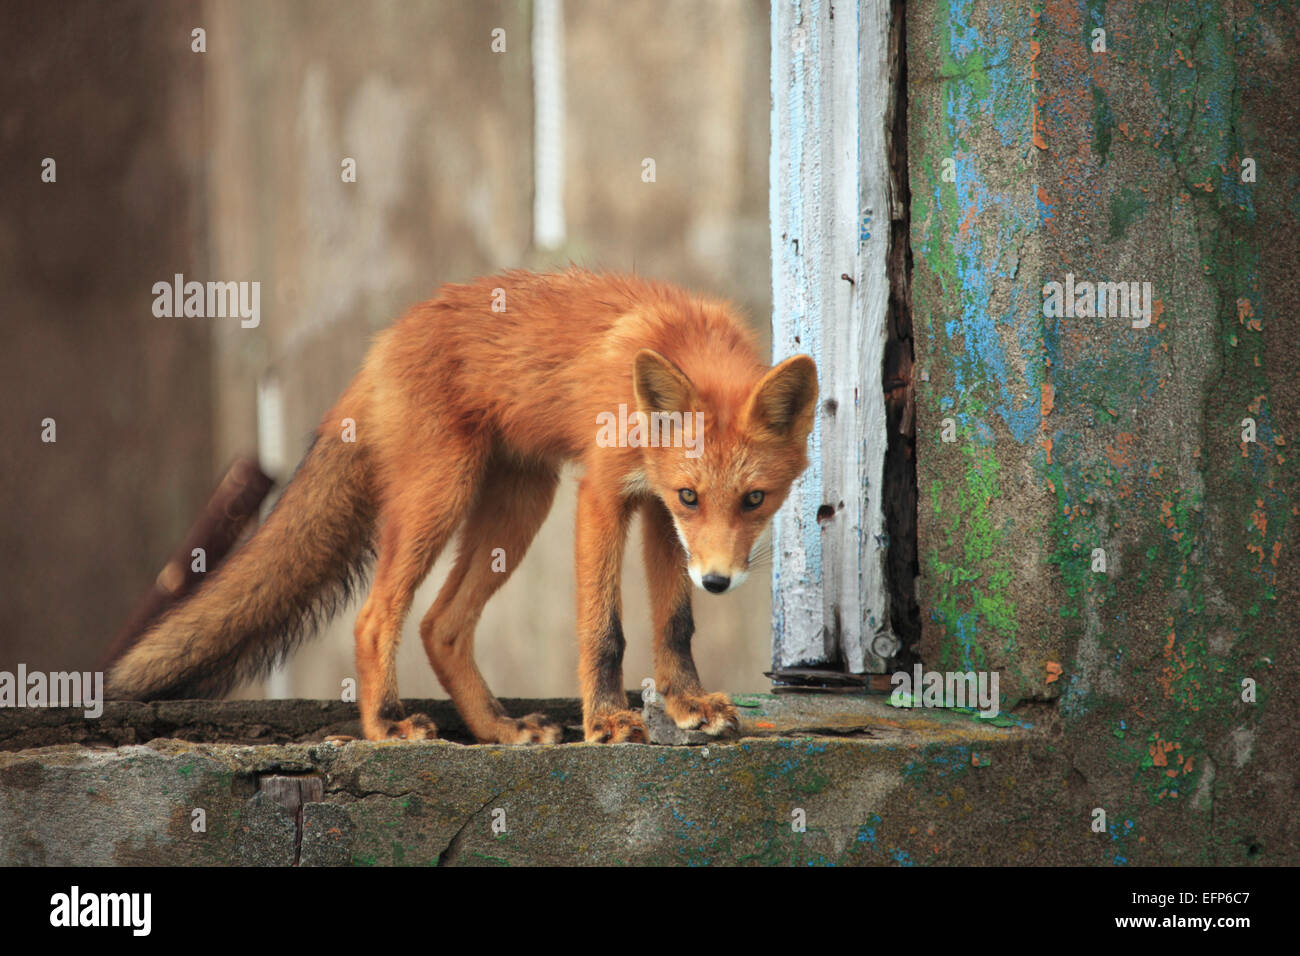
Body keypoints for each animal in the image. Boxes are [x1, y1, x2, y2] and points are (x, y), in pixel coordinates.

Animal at [106, 268, 818, 745]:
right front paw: (608, 721)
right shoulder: (609, 493)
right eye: (693, 495)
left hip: (520, 504)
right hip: (442, 496)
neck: (678, 341)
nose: (719, 581)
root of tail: (385, 341)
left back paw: (498, 730)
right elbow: (605, 630)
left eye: (755, 500)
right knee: (376, 618)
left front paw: (686, 703)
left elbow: (674, 624)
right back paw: (386, 726)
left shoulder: (659, 513)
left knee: (440, 627)